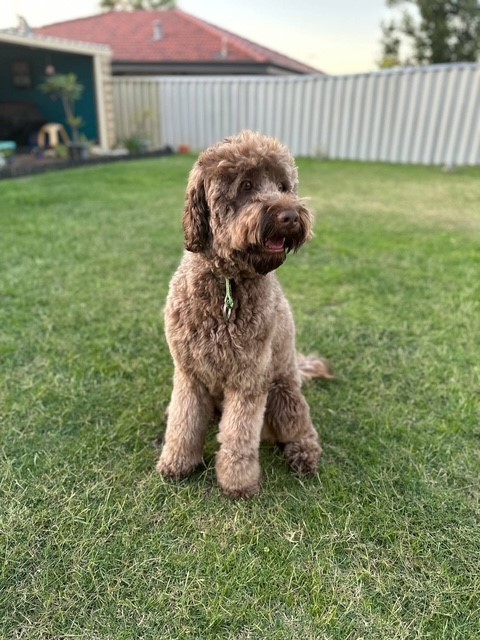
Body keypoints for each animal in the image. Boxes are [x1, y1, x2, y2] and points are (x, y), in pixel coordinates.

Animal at [156, 130, 332, 498]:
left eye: (283, 186)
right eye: (247, 185)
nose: (291, 216)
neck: (228, 283)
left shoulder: (249, 378)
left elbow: (238, 435)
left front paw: (237, 483)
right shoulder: (189, 374)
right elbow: (183, 421)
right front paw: (178, 462)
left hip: (282, 393)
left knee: (300, 427)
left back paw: (304, 454)